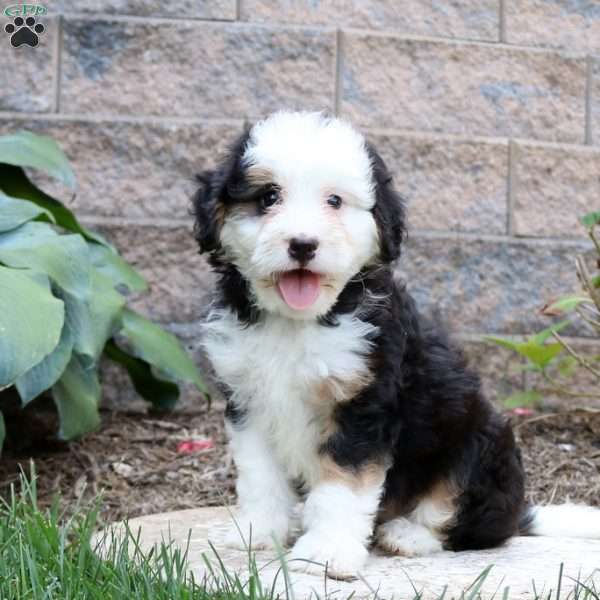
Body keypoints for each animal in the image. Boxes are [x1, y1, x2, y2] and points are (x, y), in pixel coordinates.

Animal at [193, 110, 600, 580]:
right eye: (268, 197)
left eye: (334, 201)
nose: (303, 244)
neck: (297, 323)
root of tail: (519, 513)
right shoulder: (249, 402)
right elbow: (260, 477)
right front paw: (258, 532)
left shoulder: (362, 407)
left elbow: (343, 488)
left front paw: (326, 553)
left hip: (478, 443)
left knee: (466, 521)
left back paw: (407, 534)